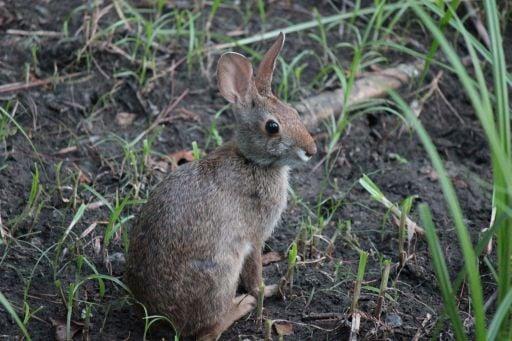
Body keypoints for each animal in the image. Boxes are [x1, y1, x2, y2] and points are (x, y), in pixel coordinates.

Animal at [124, 32, 316, 340]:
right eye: (272, 127)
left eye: (294, 112)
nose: (311, 150)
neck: (251, 161)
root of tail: (163, 319)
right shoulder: (254, 236)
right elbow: (255, 274)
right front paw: (267, 291)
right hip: (222, 272)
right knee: (209, 329)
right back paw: (242, 305)